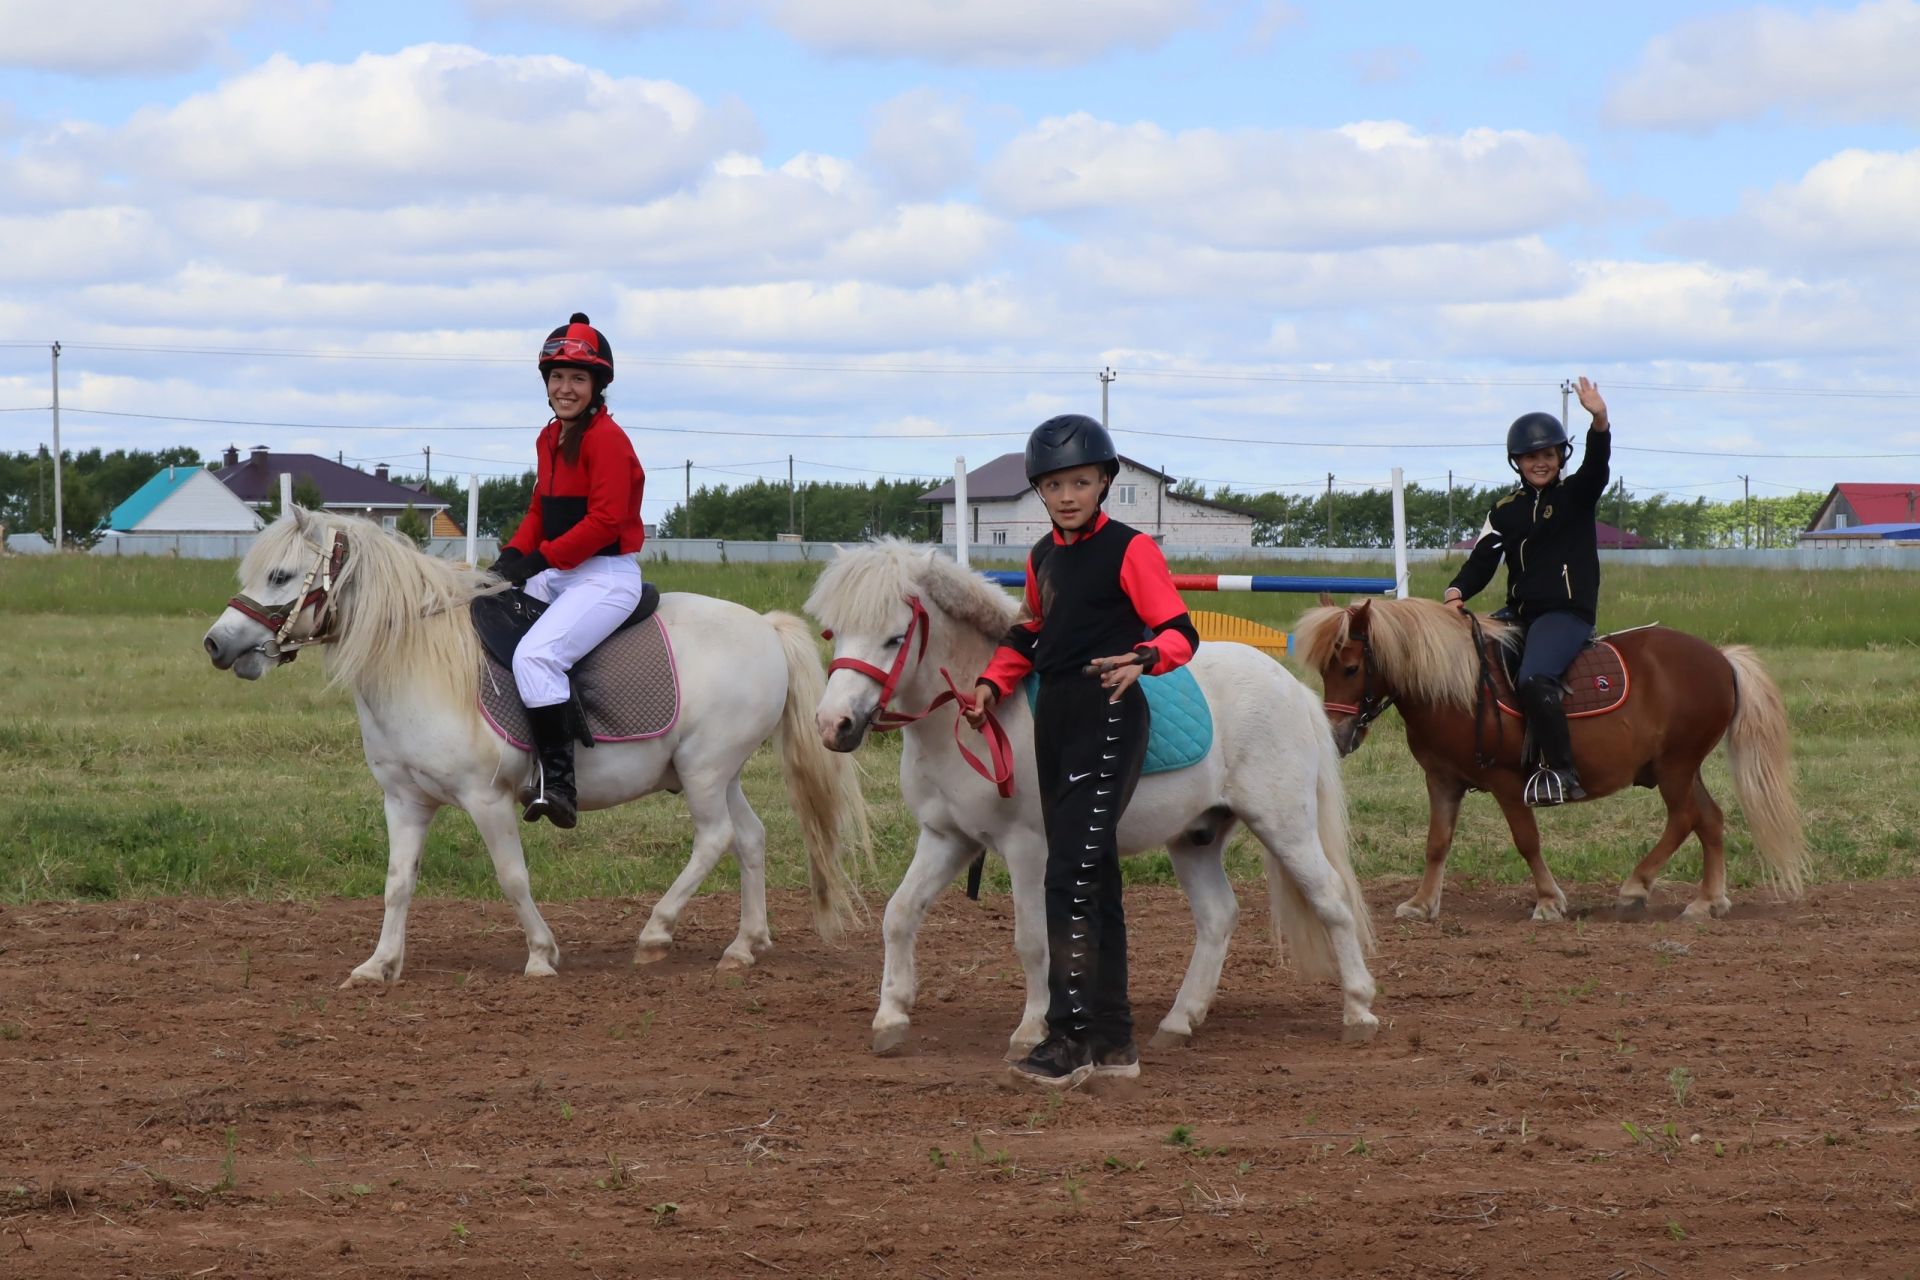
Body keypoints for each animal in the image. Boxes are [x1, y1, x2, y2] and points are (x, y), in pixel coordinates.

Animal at [202, 510, 864, 982]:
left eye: (281, 576)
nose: (215, 644)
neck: (418, 659)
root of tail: (766, 627)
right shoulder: (405, 801)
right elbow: (397, 882)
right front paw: (379, 964)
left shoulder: (487, 800)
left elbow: (512, 876)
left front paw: (541, 955)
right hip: (718, 774)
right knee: (750, 839)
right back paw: (744, 946)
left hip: (704, 771)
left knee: (716, 838)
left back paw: (656, 932)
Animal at [1290, 598, 1797, 921]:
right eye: (1324, 669)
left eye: (1351, 668)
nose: (1336, 736)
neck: (1459, 688)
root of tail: (1721, 659)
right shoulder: (1442, 780)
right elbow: (1437, 843)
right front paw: (1420, 903)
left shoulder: (1507, 783)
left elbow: (1526, 841)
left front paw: (1549, 901)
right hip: (1682, 768)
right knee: (1709, 819)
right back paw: (1707, 901)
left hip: (1676, 766)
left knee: (1686, 818)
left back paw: (1636, 887)